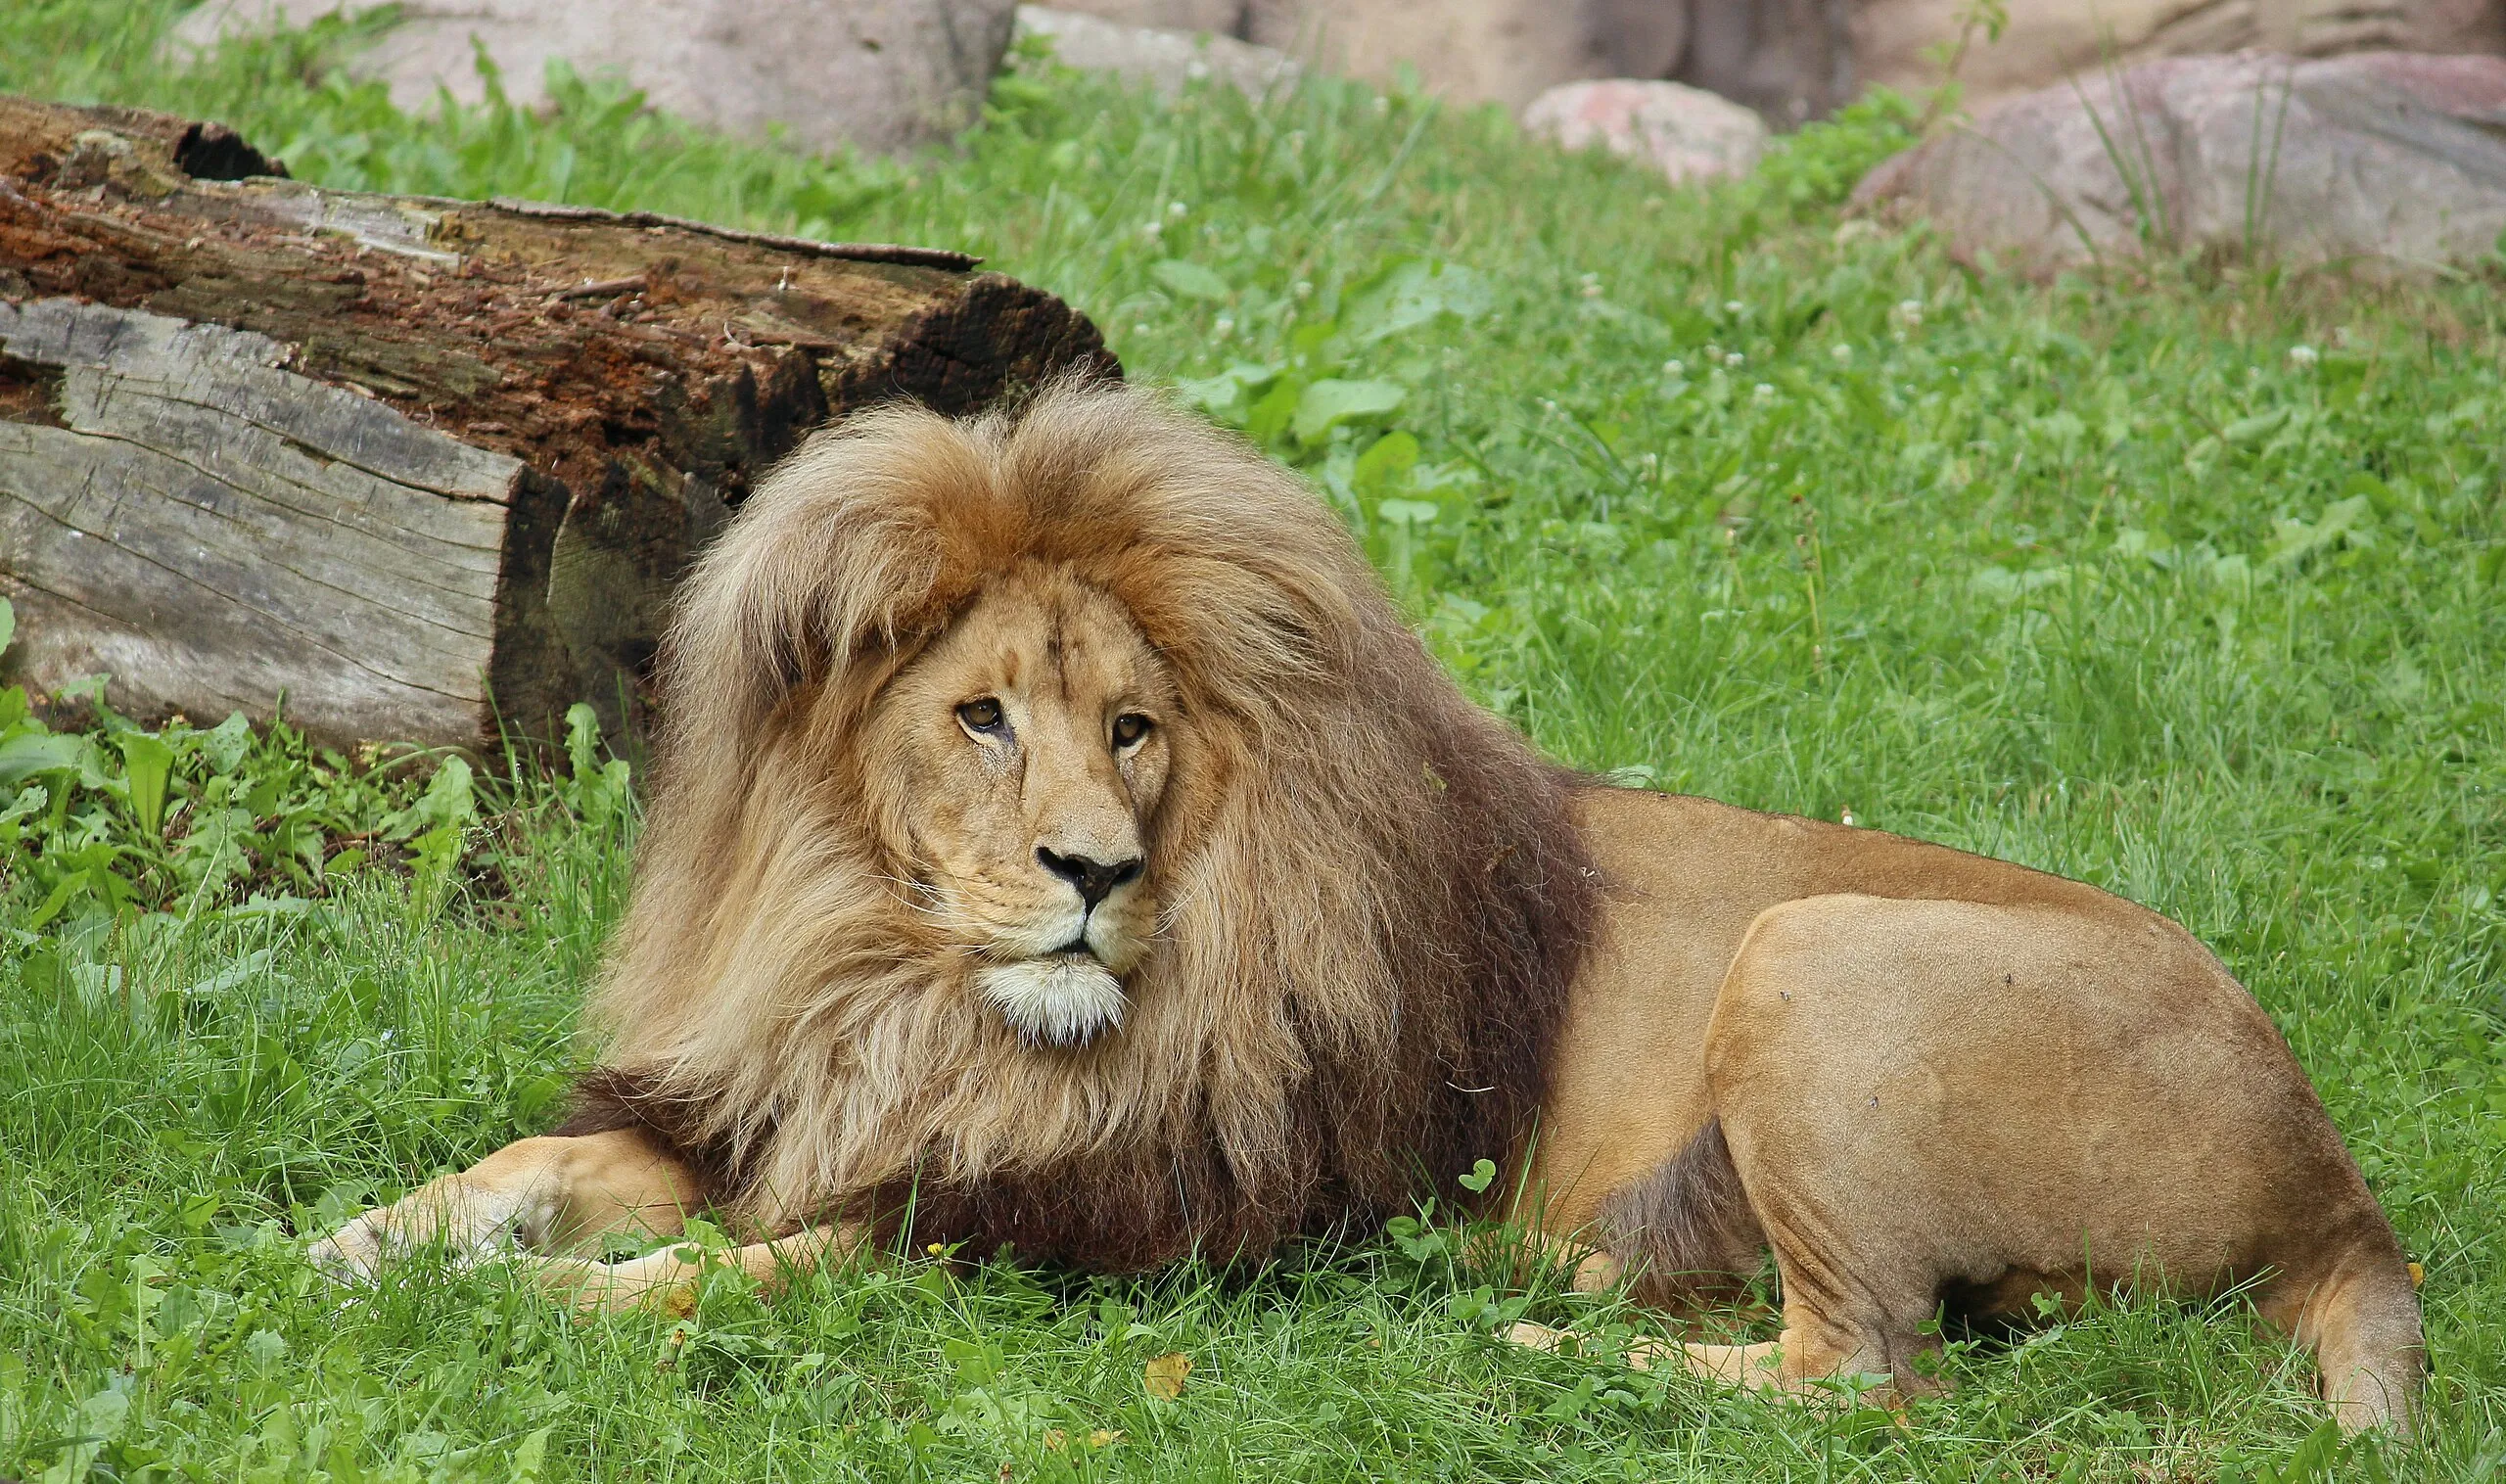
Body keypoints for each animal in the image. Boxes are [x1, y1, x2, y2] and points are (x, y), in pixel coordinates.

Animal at [302, 376, 2415, 1433]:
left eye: (1135, 727)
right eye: (980, 717)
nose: (1094, 874)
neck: (895, 982)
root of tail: (2339, 1179)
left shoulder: (1100, 1223)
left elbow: (760, 1270)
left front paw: (559, 1304)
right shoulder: (788, 1108)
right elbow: (532, 1162)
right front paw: (357, 1242)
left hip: (1812, 944)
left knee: (1868, 1382)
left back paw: (1535, 1350)